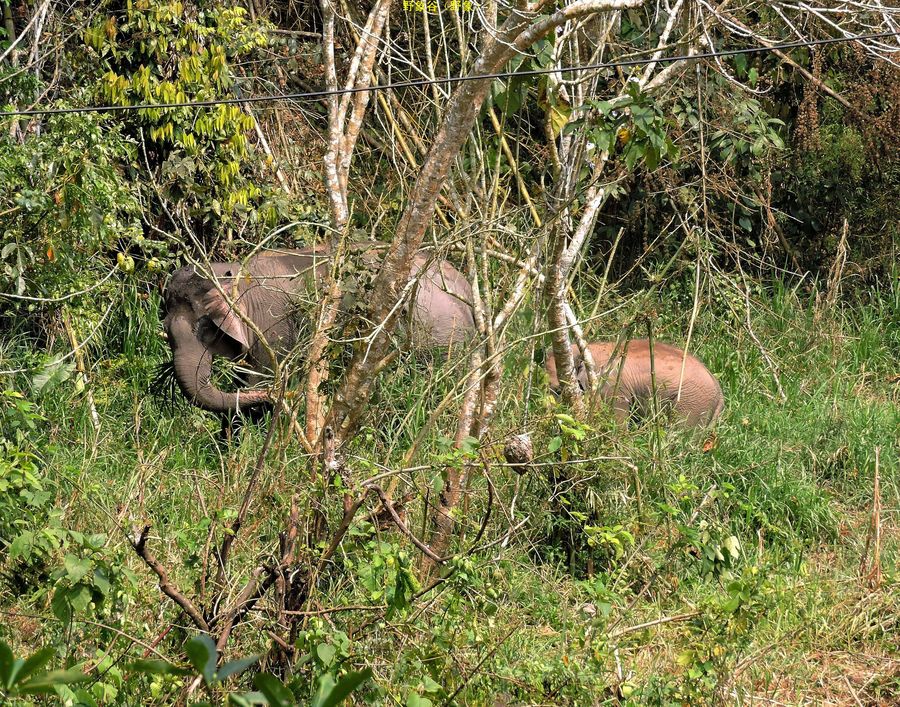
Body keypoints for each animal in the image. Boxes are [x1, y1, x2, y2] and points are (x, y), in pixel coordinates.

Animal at [158, 245, 474, 414]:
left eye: (205, 327)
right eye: (166, 332)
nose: (288, 393)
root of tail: (466, 288)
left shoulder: (272, 329)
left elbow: (258, 381)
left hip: (438, 339)